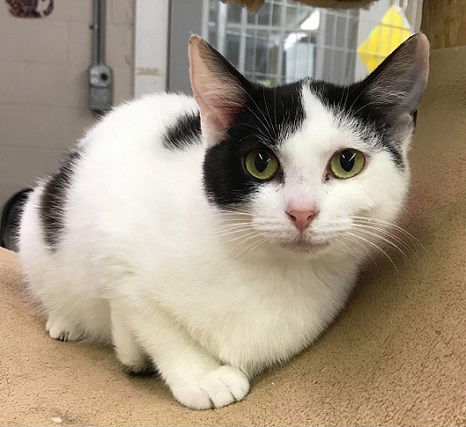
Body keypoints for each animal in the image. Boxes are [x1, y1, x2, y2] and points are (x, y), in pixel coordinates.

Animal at [18, 34, 430, 412]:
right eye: (260, 163)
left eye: (347, 162)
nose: (301, 212)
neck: (272, 271)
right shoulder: (115, 248)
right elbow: (147, 316)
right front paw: (199, 375)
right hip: (34, 223)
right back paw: (65, 321)